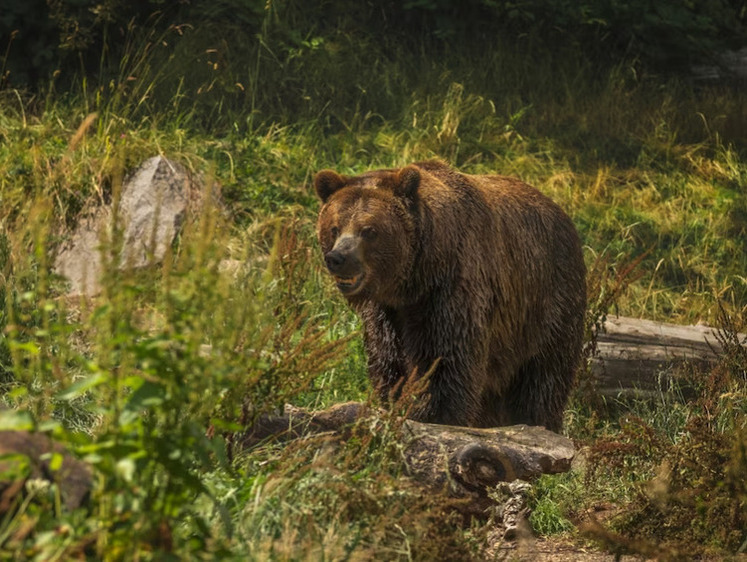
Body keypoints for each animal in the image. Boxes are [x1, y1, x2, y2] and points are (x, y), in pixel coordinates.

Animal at [312, 159, 588, 428]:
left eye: (369, 230)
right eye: (334, 228)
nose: (338, 258)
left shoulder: (451, 291)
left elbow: (445, 359)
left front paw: (430, 413)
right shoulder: (386, 311)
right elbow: (388, 359)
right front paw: (394, 399)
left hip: (547, 304)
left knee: (544, 376)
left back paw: (537, 420)